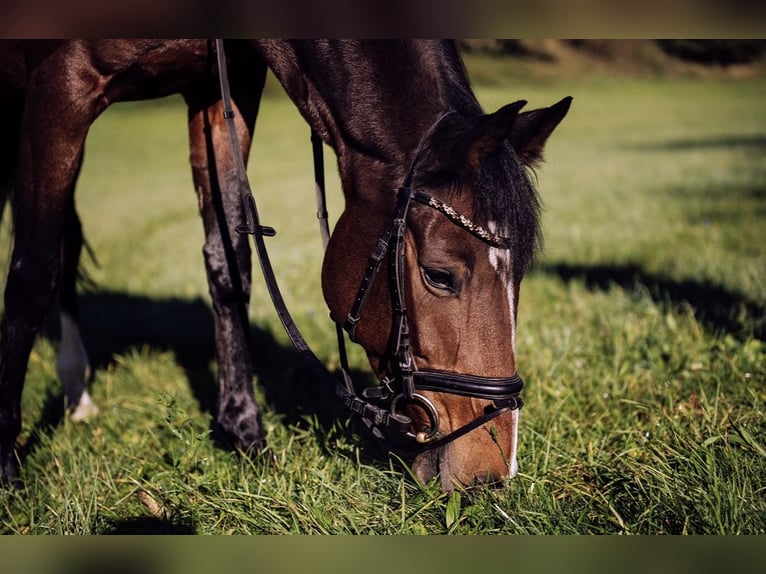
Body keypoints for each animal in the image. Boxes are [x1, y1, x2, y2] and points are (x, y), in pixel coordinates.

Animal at [1, 39, 568, 496]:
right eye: (439, 276)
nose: (492, 471)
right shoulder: (60, 87)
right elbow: (31, 276)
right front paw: (7, 465)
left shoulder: (221, 89)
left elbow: (230, 259)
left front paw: (244, 430)